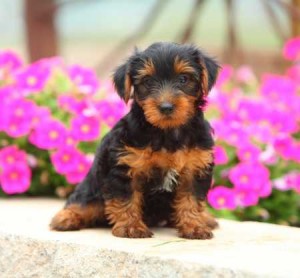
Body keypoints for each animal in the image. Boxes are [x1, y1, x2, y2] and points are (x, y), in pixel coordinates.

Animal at [50, 41, 219, 239]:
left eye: (184, 79)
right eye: (148, 81)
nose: (166, 107)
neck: (167, 132)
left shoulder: (195, 168)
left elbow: (190, 199)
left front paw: (194, 225)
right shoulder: (126, 167)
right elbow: (126, 198)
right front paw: (131, 227)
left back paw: (205, 218)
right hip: (93, 188)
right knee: (84, 202)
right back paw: (66, 218)